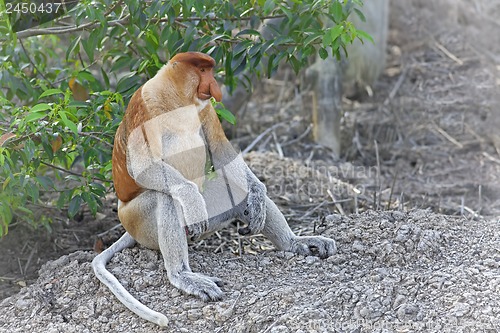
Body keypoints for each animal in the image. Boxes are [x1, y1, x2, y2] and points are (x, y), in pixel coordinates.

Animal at [93, 50, 336, 326]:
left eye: (209, 69)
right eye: (202, 70)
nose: (214, 86)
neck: (178, 99)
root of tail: (126, 226)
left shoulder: (206, 109)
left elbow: (222, 152)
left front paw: (258, 193)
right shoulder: (143, 106)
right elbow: (143, 166)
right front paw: (189, 198)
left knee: (236, 192)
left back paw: (295, 242)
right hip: (137, 221)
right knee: (165, 198)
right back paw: (183, 275)